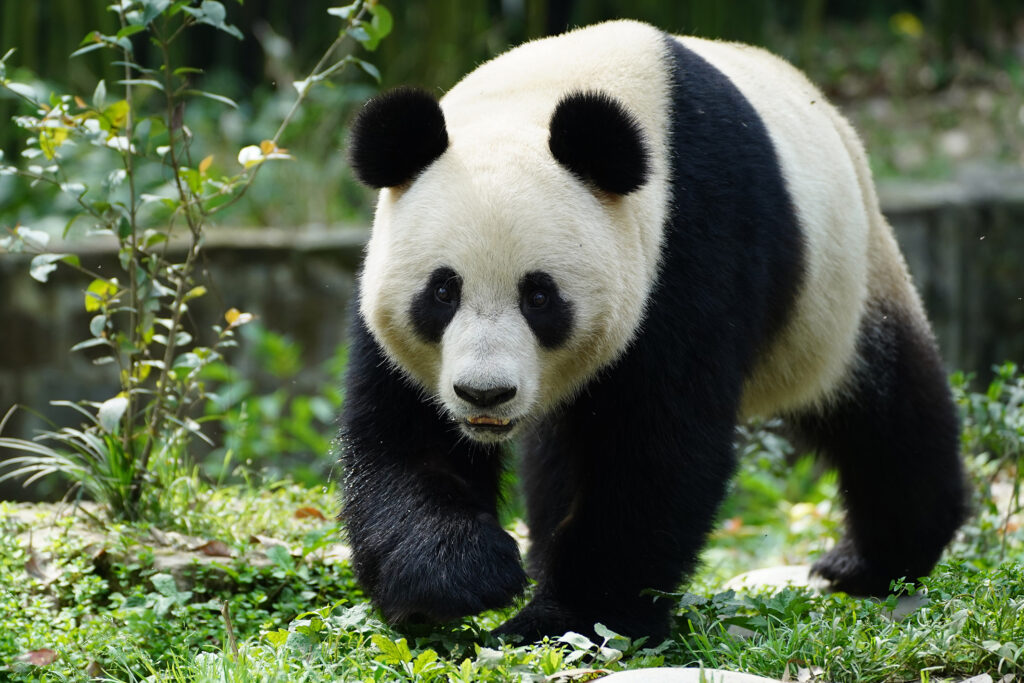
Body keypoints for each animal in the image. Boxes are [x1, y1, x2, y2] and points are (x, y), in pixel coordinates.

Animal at [339, 19, 967, 641]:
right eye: (443, 292)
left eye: (539, 296)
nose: (484, 394)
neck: (544, 94)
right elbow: (403, 436)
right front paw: (457, 576)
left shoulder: (691, 238)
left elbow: (658, 445)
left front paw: (570, 617)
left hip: (843, 287)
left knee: (887, 414)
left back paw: (871, 562)